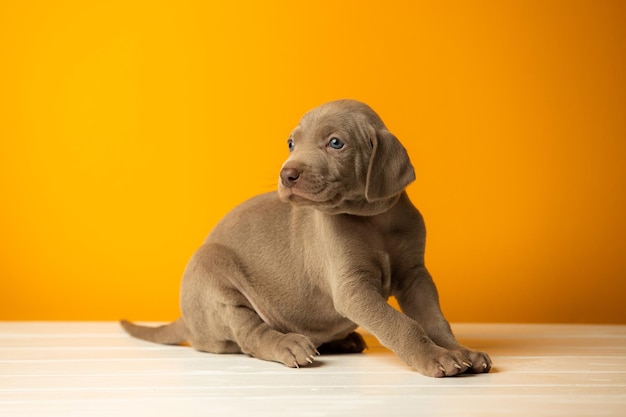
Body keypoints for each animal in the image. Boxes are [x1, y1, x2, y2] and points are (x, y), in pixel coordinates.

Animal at [120, 99, 492, 376]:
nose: (287, 174)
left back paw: (343, 340)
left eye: (335, 143)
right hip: (214, 272)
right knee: (249, 336)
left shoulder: (416, 276)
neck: (375, 220)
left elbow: (434, 320)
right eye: (291, 143)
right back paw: (288, 344)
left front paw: (461, 351)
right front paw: (437, 358)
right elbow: (401, 324)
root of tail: (187, 320)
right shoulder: (352, 288)